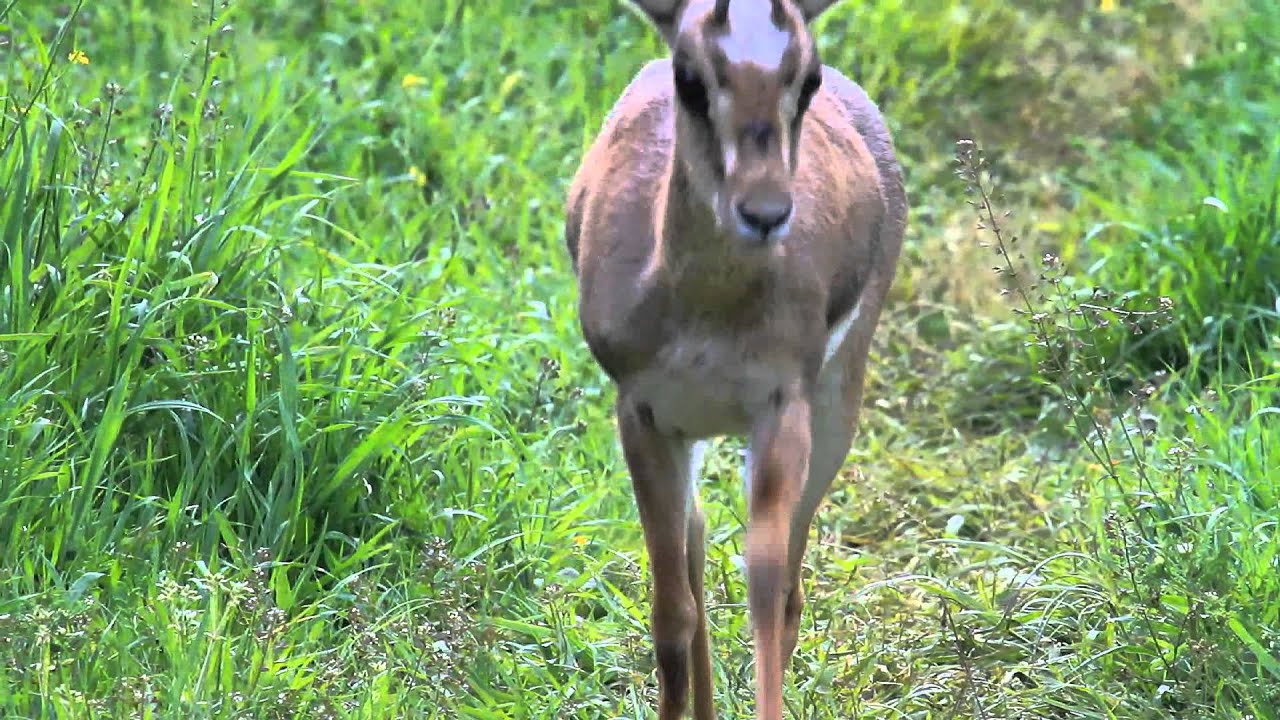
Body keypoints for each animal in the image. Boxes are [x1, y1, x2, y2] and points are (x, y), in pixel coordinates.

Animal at [563, 0, 907, 717]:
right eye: (690, 78)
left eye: (806, 78)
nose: (766, 211)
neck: (706, 313)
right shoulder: (641, 416)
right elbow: (671, 611)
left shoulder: (781, 412)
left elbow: (766, 594)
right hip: (689, 431)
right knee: (694, 537)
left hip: (835, 404)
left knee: (786, 585)